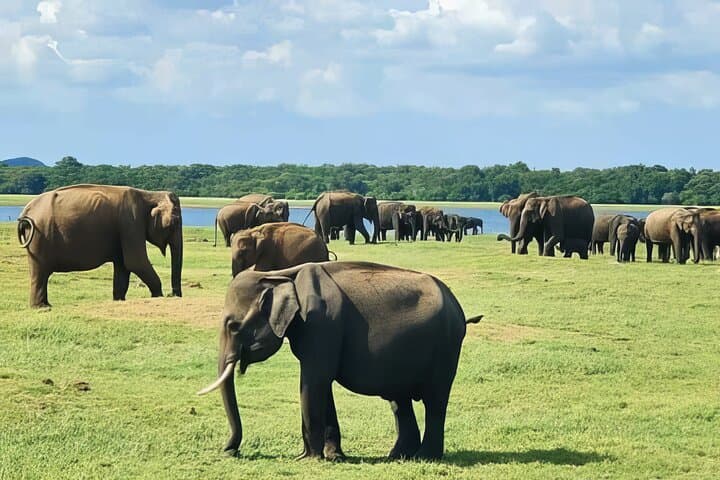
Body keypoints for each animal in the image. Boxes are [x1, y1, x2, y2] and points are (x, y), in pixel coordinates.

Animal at [16, 184, 183, 308]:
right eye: (174, 222)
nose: (173, 295)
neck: (149, 194)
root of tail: (25, 212)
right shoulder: (131, 222)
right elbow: (136, 262)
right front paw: (158, 296)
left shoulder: (125, 229)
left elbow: (123, 265)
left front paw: (119, 300)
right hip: (39, 237)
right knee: (41, 272)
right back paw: (42, 307)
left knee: (39, 273)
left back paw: (45, 305)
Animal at [198, 261, 483, 460]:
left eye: (233, 326)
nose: (230, 451)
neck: (279, 274)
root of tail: (459, 310)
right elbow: (323, 386)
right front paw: (334, 456)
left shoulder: (321, 324)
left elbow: (314, 382)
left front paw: (307, 458)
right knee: (399, 401)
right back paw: (398, 456)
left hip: (445, 347)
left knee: (435, 400)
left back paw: (425, 456)